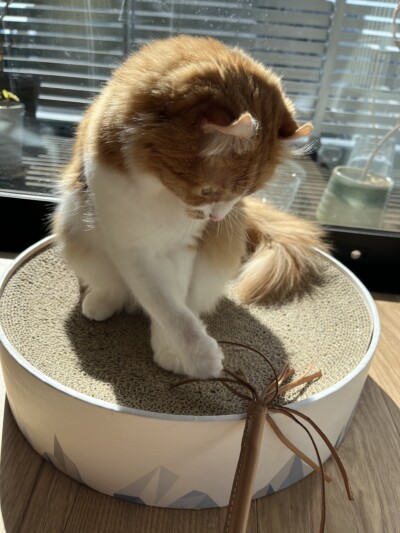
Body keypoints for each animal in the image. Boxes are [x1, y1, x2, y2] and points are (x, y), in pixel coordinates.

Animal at [53, 35, 327, 379]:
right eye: (208, 191)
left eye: (247, 192)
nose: (219, 216)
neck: (159, 193)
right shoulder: (129, 246)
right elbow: (163, 302)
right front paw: (198, 355)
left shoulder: (184, 246)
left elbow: (175, 301)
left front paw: (171, 351)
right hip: (75, 223)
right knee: (113, 286)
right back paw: (102, 302)